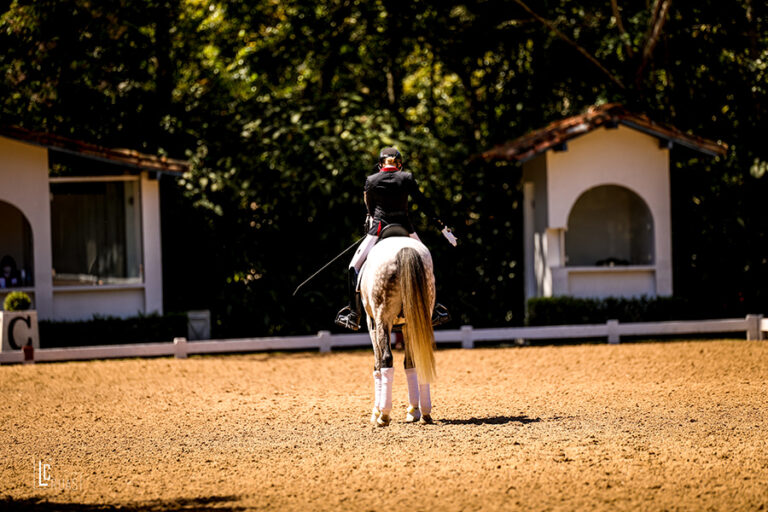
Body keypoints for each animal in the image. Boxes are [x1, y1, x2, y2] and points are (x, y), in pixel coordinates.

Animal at [356, 234, 436, 426]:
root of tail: (405, 249)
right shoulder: (407, 326)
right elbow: (410, 363)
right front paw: (413, 411)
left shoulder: (372, 324)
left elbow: (377, 364)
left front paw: (376, 412)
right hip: (419, 317)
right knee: (420, 358)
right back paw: (425, 412)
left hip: (382, 318)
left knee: (386, 359)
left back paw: (384, 415)